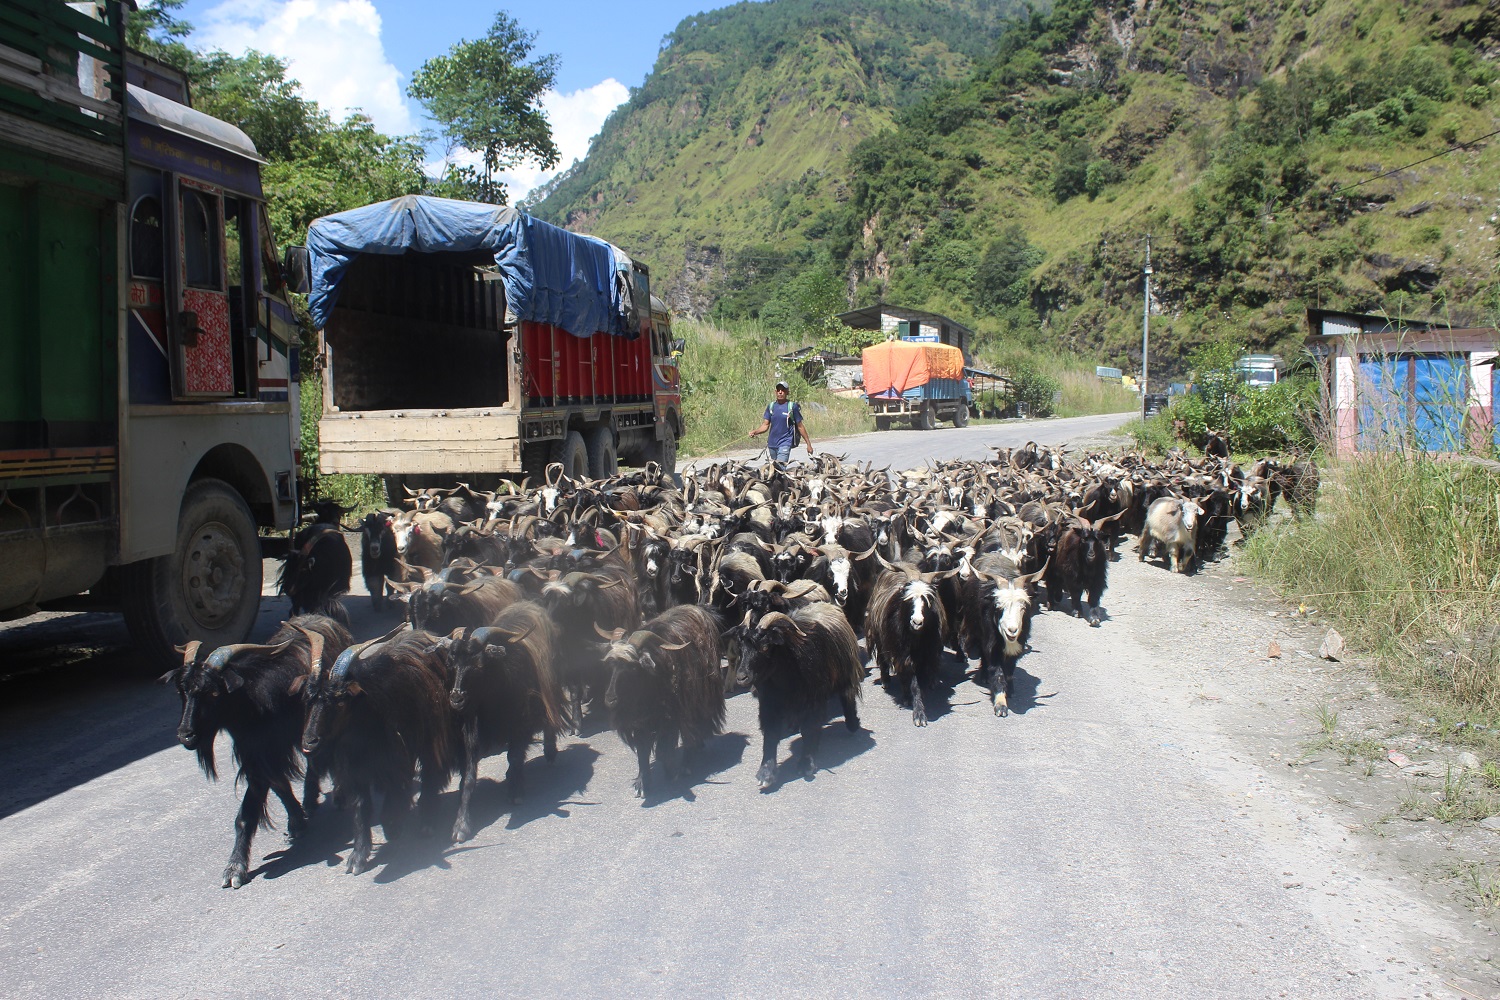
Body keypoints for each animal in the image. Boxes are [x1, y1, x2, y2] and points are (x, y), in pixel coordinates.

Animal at [162, 617, 352, 893]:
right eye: (182, 691)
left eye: (213, 693)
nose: (185, 735)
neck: (252, 704)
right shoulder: (257, 757)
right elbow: (280, 787)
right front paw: (296, 822)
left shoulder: (265, 757)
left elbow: (247, 813)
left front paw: (235, 868)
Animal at [600, 602, 723, 797]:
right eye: (609, 666)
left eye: (631, 668)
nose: (610, 700)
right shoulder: (640, 724)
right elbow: (643, 753)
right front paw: (642, 783)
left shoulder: (670, 718)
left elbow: (663, 750)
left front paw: (671, 772)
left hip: (698, 700)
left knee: (691, 731)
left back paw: (686, 765)